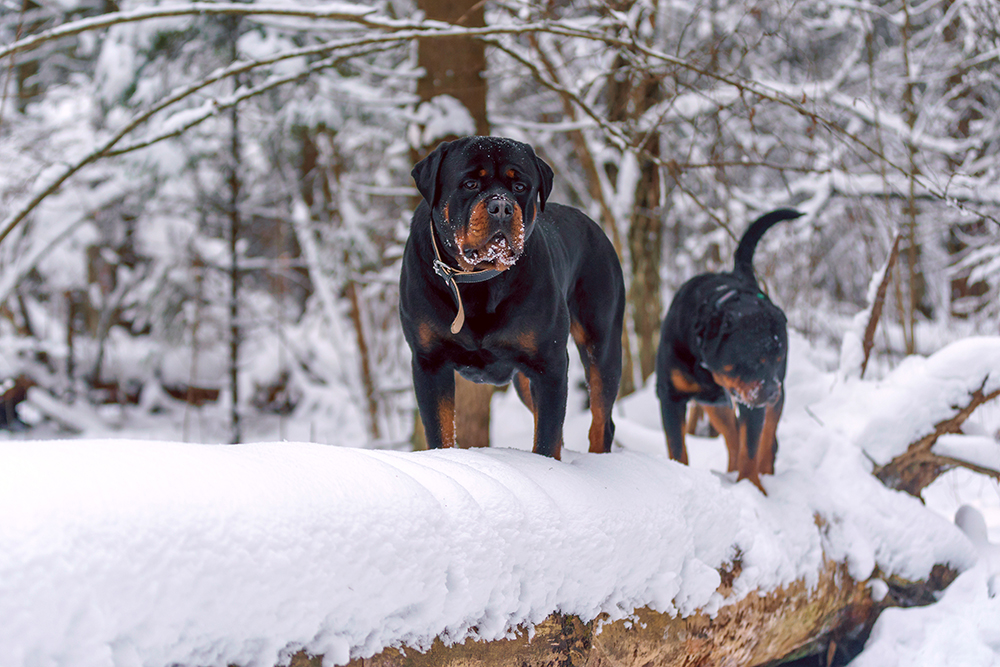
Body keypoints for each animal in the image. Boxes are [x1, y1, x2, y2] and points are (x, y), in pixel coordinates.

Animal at [400, 136, 624, 460]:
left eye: (519, 186)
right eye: (469, 183)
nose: (501, 206)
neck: (478, 281)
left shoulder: (549, 364)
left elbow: (546, 439)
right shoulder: (430, 361)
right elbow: (440, 431)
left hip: (602, 344)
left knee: (600, 419)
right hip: (524, 380)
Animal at [656, 210, 804, 496]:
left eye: (777, 360)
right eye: (751, 362)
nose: (772, 391)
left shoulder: (753, 400)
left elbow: (751, 447)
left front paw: (753, 488)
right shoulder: (670, 395)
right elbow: (677, 448)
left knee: (767, 438)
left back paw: (764, 472)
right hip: (714, 403)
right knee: (732, 434)